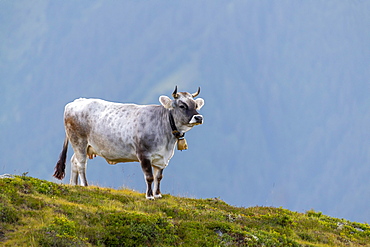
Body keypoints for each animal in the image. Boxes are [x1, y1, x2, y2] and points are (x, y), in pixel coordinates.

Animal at [53, 86, 205, 200]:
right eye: (182, 105)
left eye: (196, 105)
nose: (198, 117)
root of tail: (74, 102)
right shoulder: (144, 154)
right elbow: (149, 177)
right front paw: (149, 196)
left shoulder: (162, 158)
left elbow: (159, 177)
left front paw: (158, 194)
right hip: (79, 141)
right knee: (81, 164)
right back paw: (85, 185)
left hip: (84, 146)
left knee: (74, 161)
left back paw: (74, 185)